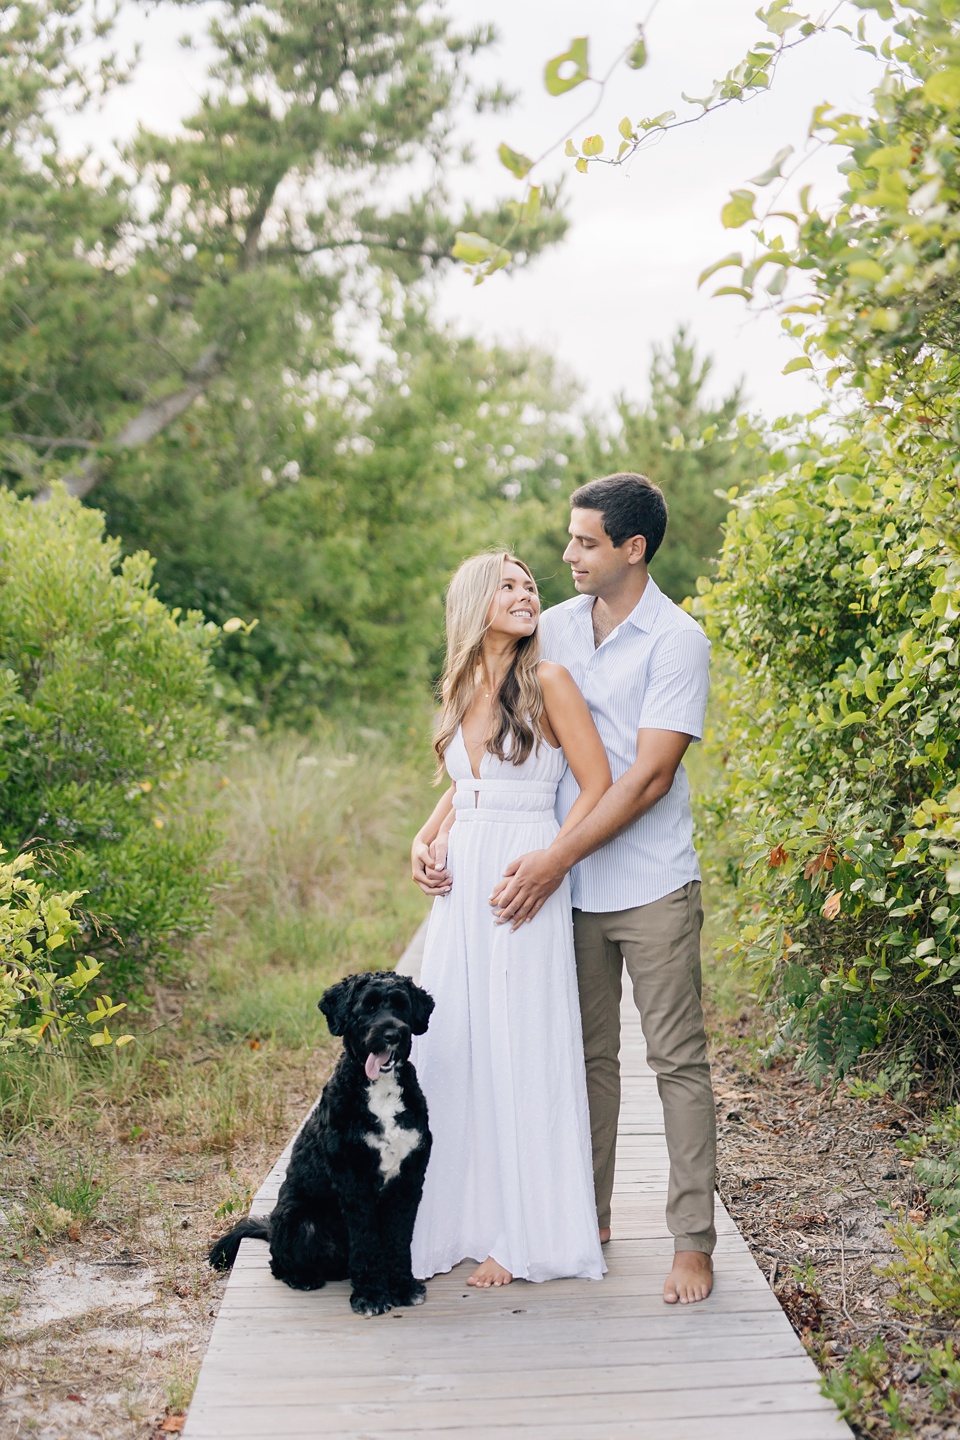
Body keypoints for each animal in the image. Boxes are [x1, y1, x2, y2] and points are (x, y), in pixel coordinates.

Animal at [211, 967, 437, 1319]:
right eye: (368, 1006)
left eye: (401, 1005)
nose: (392, 1035)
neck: (380, 1091)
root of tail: (271, 1229)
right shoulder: (355, 1183)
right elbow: (366, 1242)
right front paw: (371, 1295)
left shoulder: (408, 1182)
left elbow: (399, 1240)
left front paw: (402, 1287)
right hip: (299, 1219)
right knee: (279, 1263)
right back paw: (304, 1277)